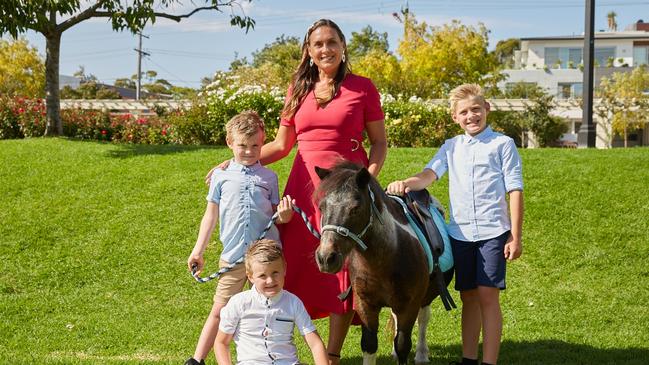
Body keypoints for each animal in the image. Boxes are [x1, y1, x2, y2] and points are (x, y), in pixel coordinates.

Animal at [312, 161, 450, 364]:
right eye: (322, 207)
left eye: (355, 208)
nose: (326, 257)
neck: (382, 262)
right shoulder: (365, 305)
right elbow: (369, 344)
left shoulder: (410, 305)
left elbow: (403, 344)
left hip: (427, 294)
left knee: (423, 318)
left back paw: (422, 353)